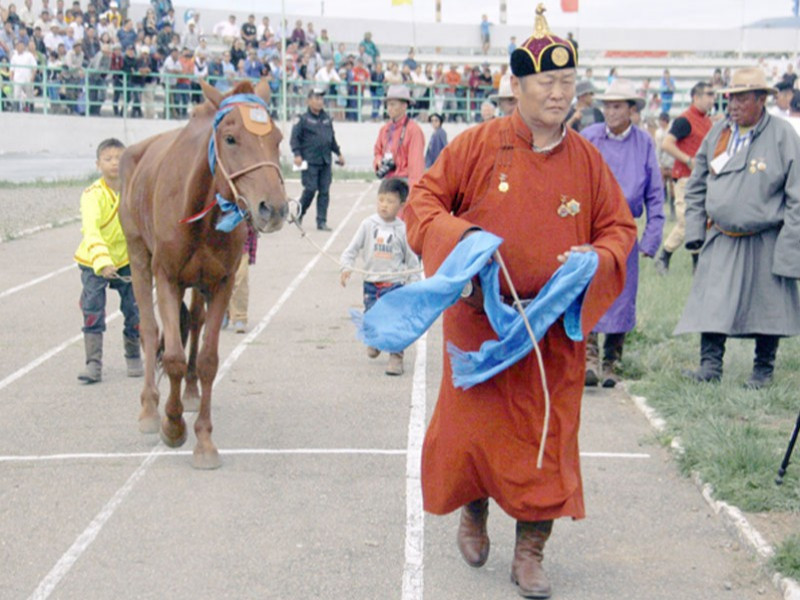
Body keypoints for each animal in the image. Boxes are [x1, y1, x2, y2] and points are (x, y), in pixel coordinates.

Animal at [120, 78, 290, 468]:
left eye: (277, 138)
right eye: (230, 138)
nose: (273, 208)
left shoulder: (220, 281)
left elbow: (209, 359)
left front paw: (204, 439)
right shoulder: (166, 277)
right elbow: (172, 356)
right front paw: (171, 425)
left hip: (197, 283)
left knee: (194, 323)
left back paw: (191, 392)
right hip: (138, 256)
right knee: (148, 329)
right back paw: (149, 408)